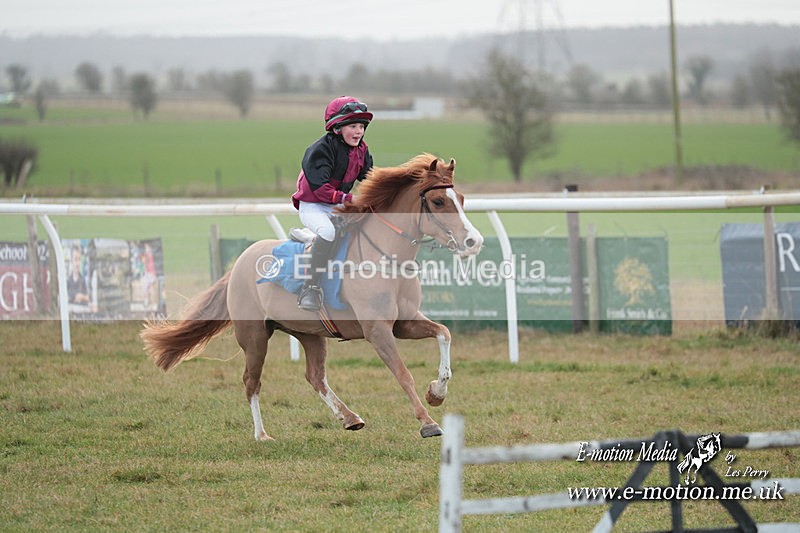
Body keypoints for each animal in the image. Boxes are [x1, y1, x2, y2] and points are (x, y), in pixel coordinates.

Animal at [141, 154, 484, 440]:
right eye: (438, 201)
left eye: (461, 199)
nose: (474, 241)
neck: (386, 257)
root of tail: (239, 262)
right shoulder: (377, 330)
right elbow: (403, 373)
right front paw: (428, 422)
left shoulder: (405, 323)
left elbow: (444, 333)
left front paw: (437, 391)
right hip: (254, 336)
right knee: (252, 381)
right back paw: (262, 435)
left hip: (309, 333)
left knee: (315, 377)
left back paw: (349, 417)